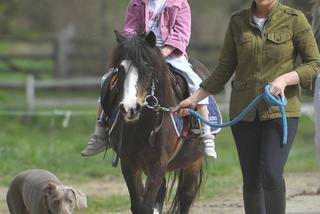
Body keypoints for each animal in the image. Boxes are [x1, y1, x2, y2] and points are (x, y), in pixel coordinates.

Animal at [102, 30, 208, 214]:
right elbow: (138, 205)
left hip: (193, 162)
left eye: (147, 66)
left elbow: (146, 206)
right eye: (121, 68)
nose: (130, 108)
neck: (142, 126)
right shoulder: (129, 163)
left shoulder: (159, 163)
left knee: (185, 197)